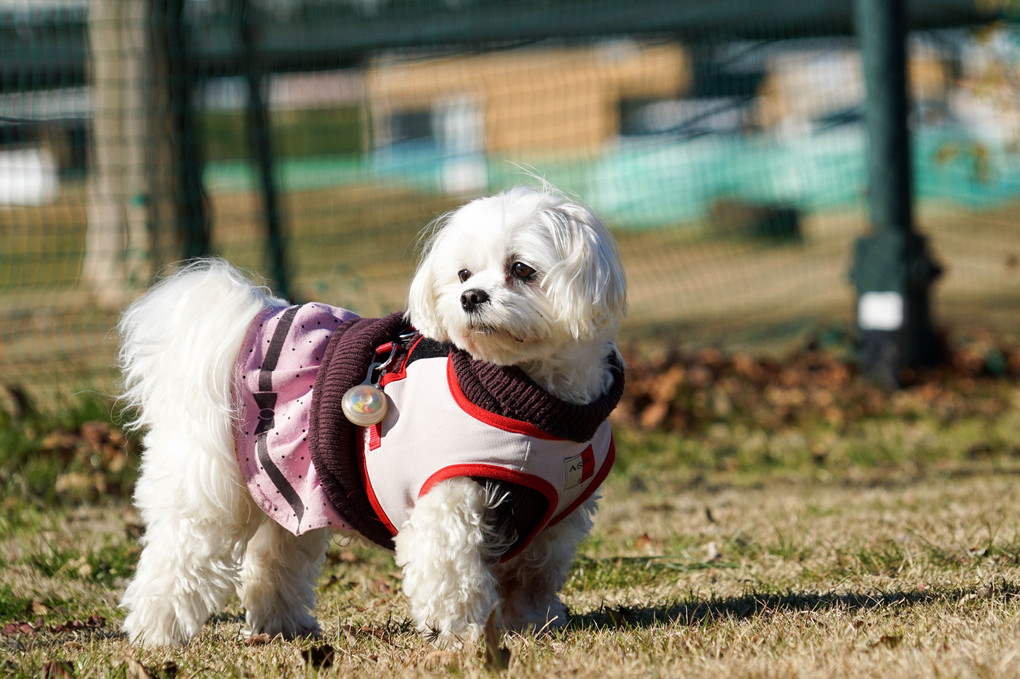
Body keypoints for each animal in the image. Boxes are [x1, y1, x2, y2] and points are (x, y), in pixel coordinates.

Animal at [119, 183, 628, 644]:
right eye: (464, 274)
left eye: (522, 269)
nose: (470, 297)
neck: (526, 397)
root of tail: (253, 322)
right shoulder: (446, 503)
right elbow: (454, 578)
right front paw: (463, 634)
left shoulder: (555, 515)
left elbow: (534, 574)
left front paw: (534, 621)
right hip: (207, 492)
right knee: (179, 557)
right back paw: (155, 632)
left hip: (290, 490)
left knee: (272, 559)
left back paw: (283, 626)